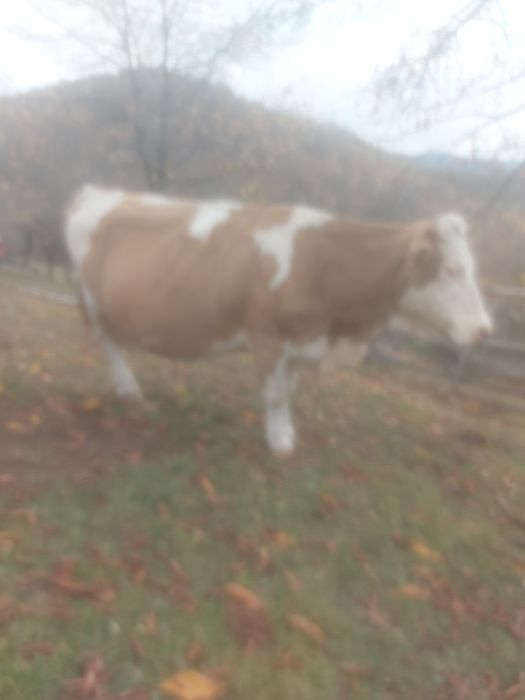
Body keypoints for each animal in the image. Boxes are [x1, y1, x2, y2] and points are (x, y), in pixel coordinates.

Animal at [64, 185, 492, 454]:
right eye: (452, 270)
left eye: (472, 268)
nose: (485, 330)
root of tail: (96, 192)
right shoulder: (266, 336)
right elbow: (273, 394)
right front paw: (278, 443)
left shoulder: (299, 341)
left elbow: (288, 391)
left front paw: (286, 433)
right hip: (91, 301)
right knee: (108, 346)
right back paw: (129, 391)